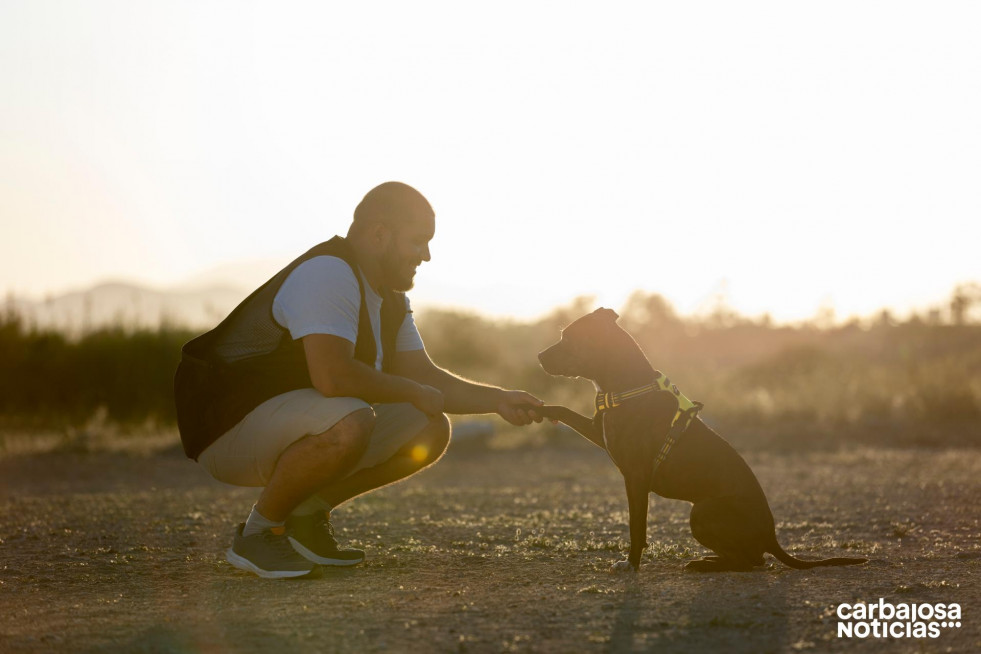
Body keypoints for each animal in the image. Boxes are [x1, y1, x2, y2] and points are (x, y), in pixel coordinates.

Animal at [536, 310, 864, 572]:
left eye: (568, 338)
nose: (539, 356)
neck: (627, 384)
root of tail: (772, 536)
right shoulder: (599, 432)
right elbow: (562, 409)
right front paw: (537, 408)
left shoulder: (636, 479)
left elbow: (636, 527)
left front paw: (631, 564)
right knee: (751, 558)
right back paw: (710, 560)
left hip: (701, 512)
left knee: (753, 562)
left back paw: (704, 565)